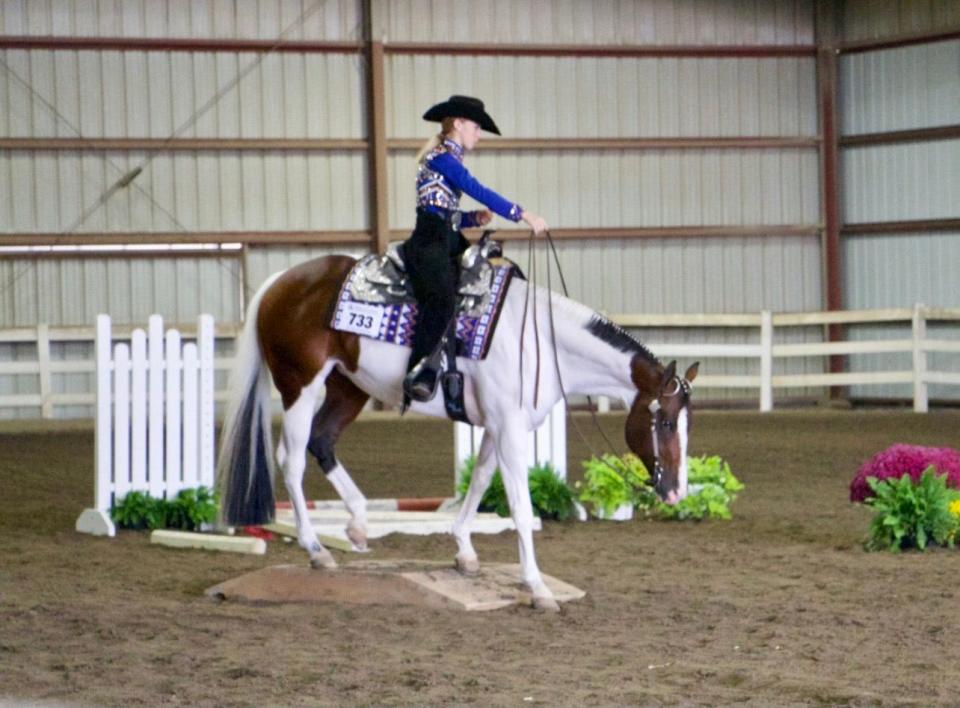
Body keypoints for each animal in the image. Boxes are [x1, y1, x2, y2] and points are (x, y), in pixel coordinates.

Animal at [218, 253, 696, 608]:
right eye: (665, 421)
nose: (675, 491)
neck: (540, 341)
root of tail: (280, 282)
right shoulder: (508, 429)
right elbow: (520, 505)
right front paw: (538, 587)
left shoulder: (497, 426)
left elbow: (480, 480)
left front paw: (465, 552)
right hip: (300, 385)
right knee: (292, 460)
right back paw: (316, 550)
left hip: (347, 387)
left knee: (322, 442)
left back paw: (358, 524)